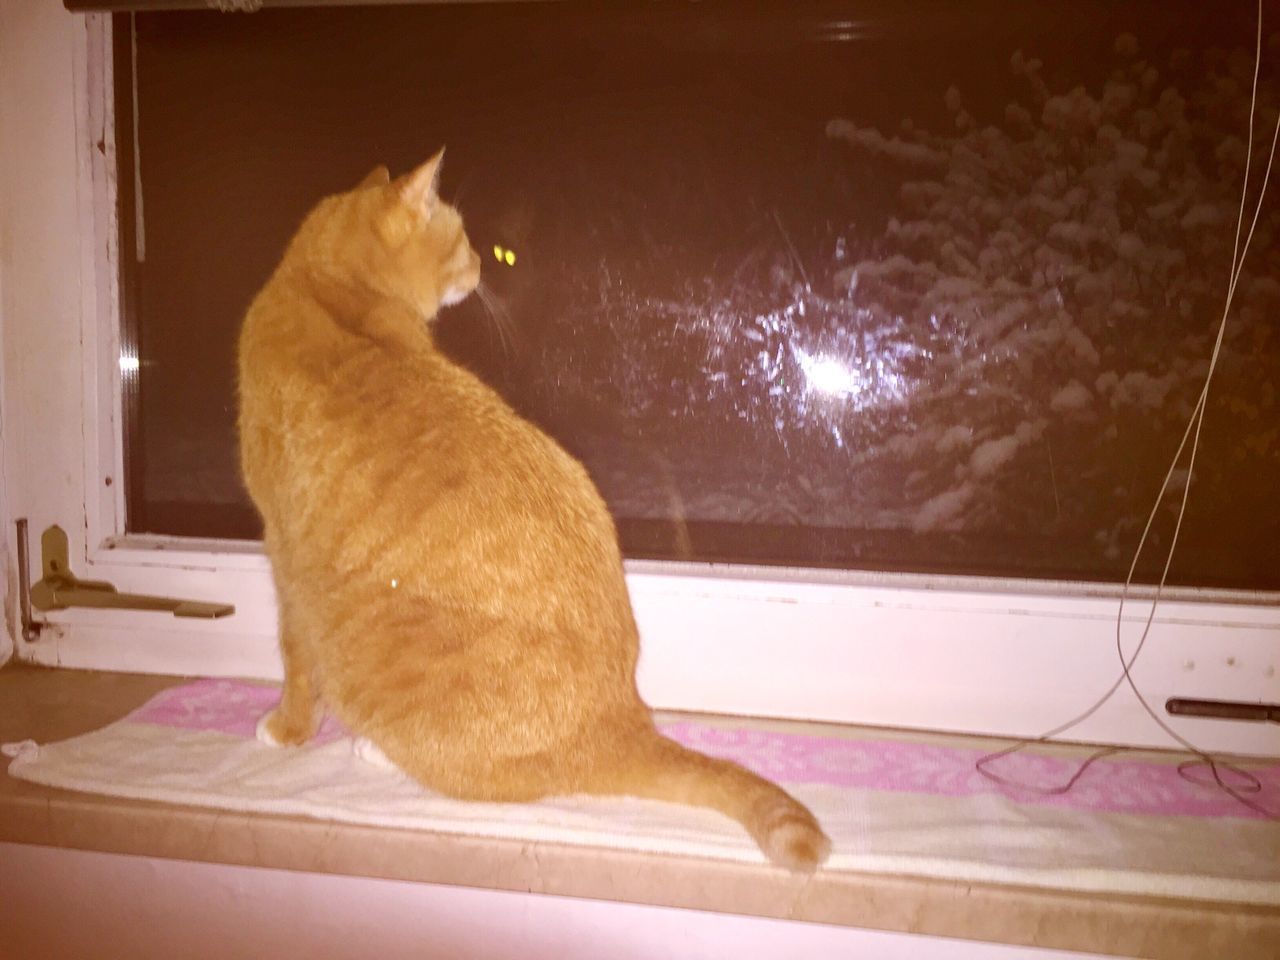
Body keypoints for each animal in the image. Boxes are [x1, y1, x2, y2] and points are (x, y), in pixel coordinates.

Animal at [235, 150, 829, 870]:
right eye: (462, 238)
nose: (481, 264)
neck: (328, 293)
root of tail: (619, 719)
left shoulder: (282, 554)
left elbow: (294, 660)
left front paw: (288, 727)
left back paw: (375, 748)